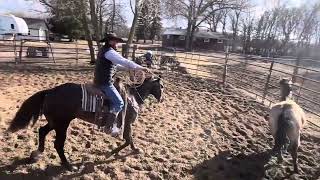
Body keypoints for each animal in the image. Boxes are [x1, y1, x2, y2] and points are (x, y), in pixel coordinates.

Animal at [6, 75, 164, 170]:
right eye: (161, 86)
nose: (162, 99)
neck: (132, 97)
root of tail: (50, 91)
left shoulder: (127, 124)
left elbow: (128, 139)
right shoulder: (128, 123)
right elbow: (128, 139)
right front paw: (117, 152)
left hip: (54, 122)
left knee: (42, 131)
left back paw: (37, 153)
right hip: (62, 124)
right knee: (58, 144)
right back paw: (69, 166)